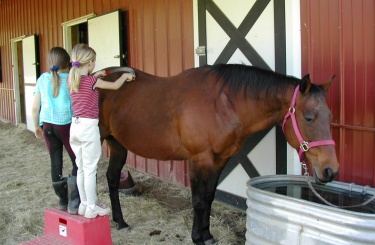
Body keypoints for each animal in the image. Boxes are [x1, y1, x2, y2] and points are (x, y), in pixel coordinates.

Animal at [98, 64, 340, 244]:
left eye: (329, 116)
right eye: (308, 117)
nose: (331, 170)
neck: (221, 105)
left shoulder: (219, 160)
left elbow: (209, 196)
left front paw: (207, 235)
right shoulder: (199, 160)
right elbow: (198, 200)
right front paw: (197, 238)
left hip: (118, 145)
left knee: (112, 179)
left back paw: (121, 222)